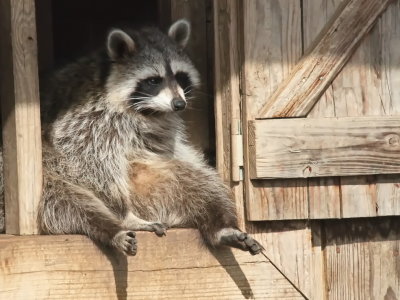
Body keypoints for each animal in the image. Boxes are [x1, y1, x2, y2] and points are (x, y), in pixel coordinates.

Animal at [11, 19, 262, 255]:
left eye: (180, 77)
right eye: (153, 80)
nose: (179, 104)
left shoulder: (161, 124)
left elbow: (170, 148)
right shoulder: (87, 117)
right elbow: (89, 157)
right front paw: (120, 212)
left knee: (202, 183)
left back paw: (222, 226)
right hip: (51, 168)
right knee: (70, 202)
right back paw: (116, 225)